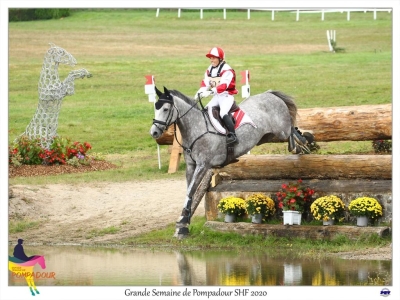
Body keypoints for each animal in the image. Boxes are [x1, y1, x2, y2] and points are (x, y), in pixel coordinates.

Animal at [150, 86, 310, 239]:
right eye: (155, 108)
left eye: (165, 109)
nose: (154, 133)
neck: (197, 128)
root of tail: (270, 94)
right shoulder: (191, 166)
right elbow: (189, 192)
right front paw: (183, 224)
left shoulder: (203, 165)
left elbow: (191, 191)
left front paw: (183, 222)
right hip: (267, 136)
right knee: (290, 135)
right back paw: (303, 144)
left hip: (280, 130)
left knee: (291, 131)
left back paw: (304, 142)